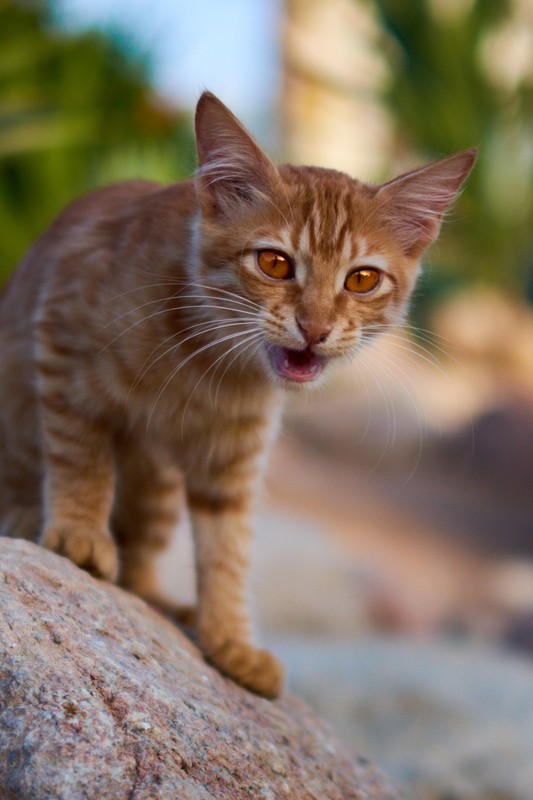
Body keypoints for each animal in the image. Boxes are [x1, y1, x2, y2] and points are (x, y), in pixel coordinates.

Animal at [0, 92, 476, 692]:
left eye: (362, 279)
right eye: (274, 263)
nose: (315, 327)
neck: (207, 362)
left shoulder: (233, 457)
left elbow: (227, 548)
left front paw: (230, 639)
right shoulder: (61, 342)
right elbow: (82, 457)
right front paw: (78, 530)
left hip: (157, 489)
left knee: (140, 566)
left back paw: (167, 602)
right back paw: (27, 518)